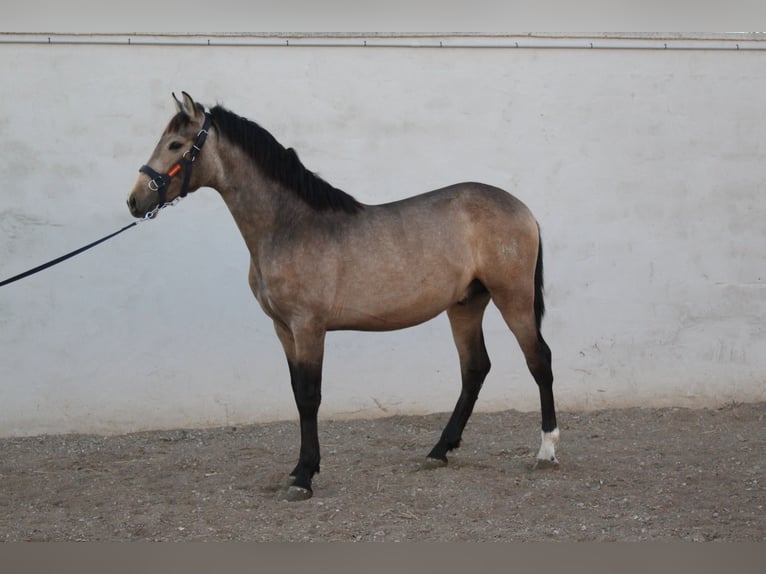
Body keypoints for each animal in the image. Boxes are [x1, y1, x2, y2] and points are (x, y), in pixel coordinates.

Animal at [127, 92, 559, 501]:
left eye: (175, 144)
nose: (134, 201)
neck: (290, 226)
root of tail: (522, 208)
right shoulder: (283, 329)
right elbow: (296, 393)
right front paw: (298, 470)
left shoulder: (308, 327)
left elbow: (309, 396)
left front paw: (304, 476)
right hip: (466, 305)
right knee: (474, 369)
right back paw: (439, 451)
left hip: (513, 297)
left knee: (538, 360)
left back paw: (546, 451)